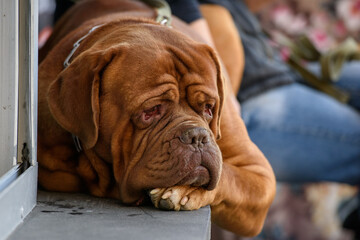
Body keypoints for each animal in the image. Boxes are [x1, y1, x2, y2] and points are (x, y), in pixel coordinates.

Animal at [38, 0, 276, 236]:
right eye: (151, 110)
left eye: (209, 108)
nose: (197, 137)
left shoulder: (259, 175)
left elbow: (228, 177)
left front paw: (183, 191)